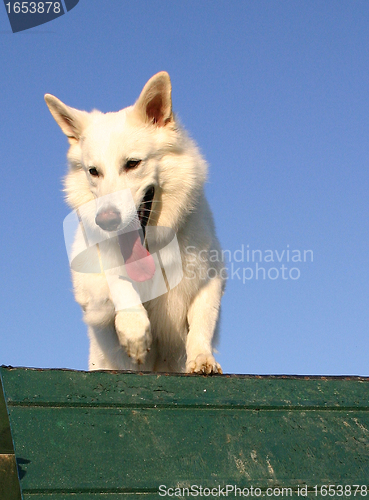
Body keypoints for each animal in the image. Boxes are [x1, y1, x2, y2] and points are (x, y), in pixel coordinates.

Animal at [46, 72, 224, 374]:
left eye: (132, 163)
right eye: (94, 171)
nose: (106, 221)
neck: (153, 249)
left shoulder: (209, 278)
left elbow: (201, 321)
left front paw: (202, 359)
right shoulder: (91, 290)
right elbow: (116, 280)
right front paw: (134, 329)